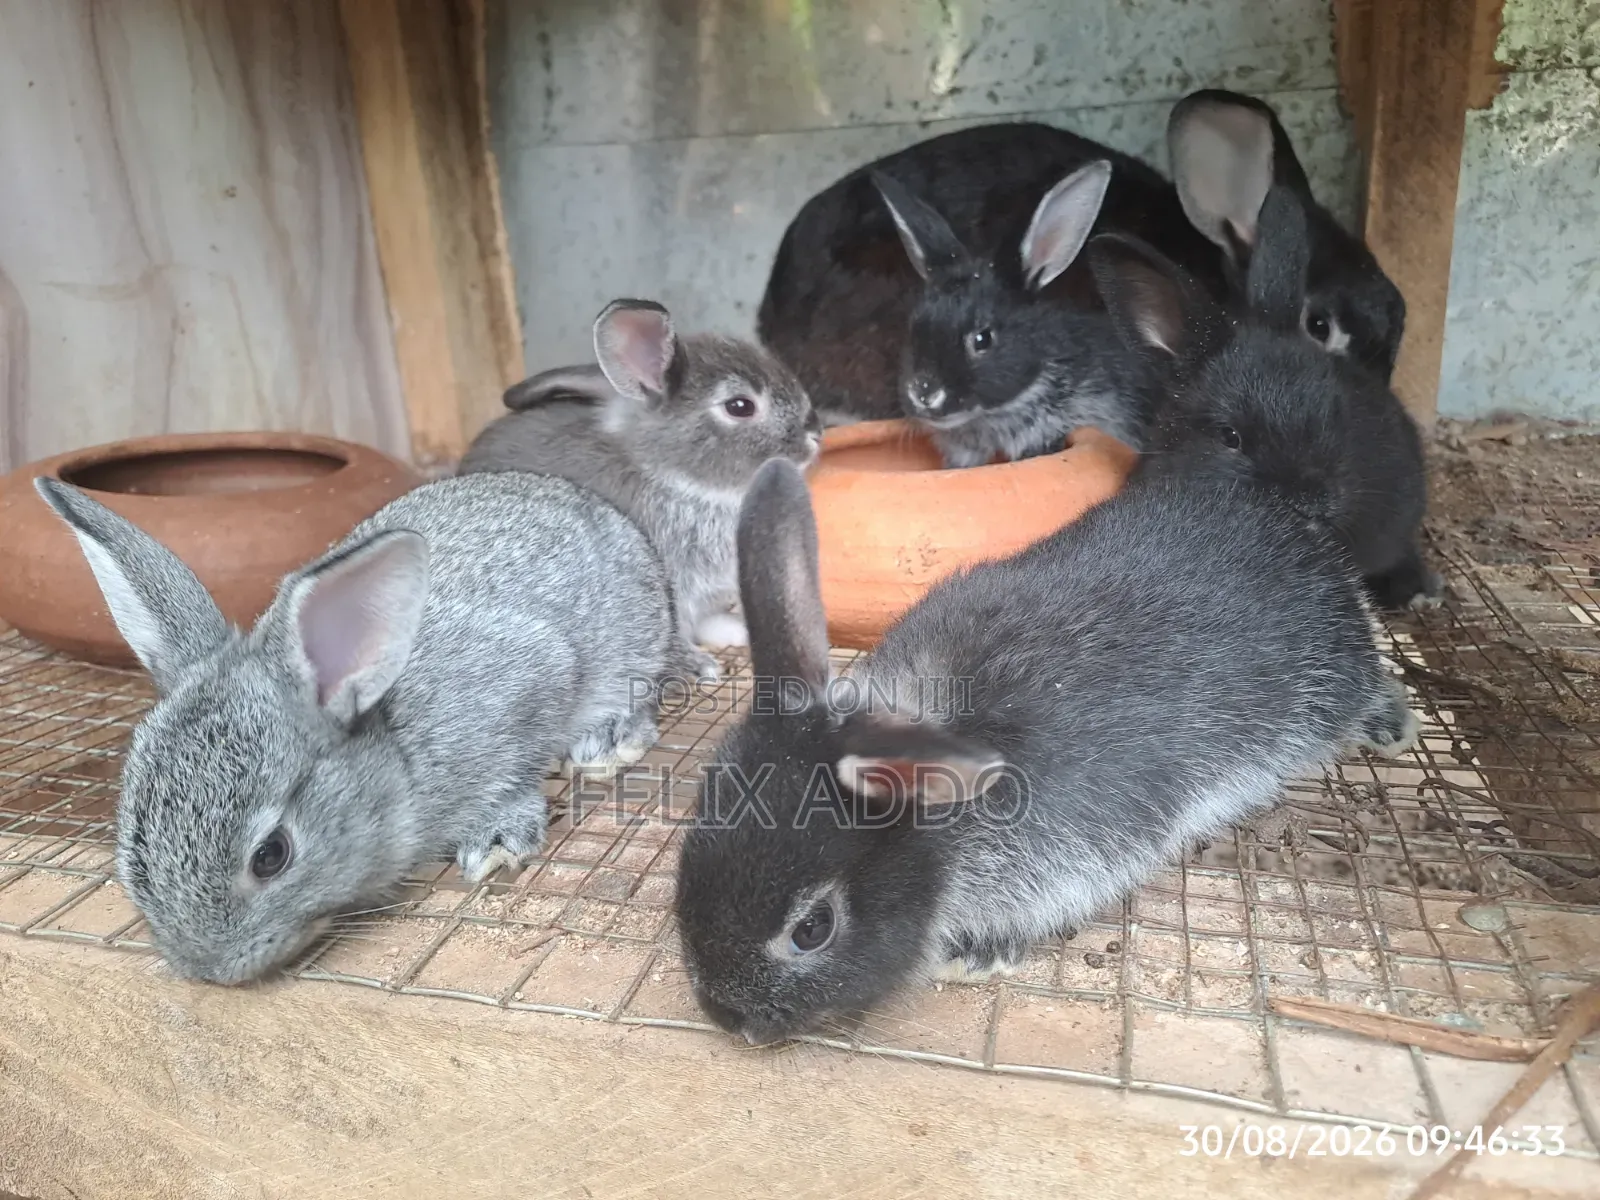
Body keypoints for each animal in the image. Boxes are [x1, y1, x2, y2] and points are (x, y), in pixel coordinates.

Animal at [36, 470, 682, 985]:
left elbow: (514, 773)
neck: (397, 755)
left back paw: (609, 743)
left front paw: (497, 842)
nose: (209, 969)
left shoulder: (530, 684)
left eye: (271, 856)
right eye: (132, 846)